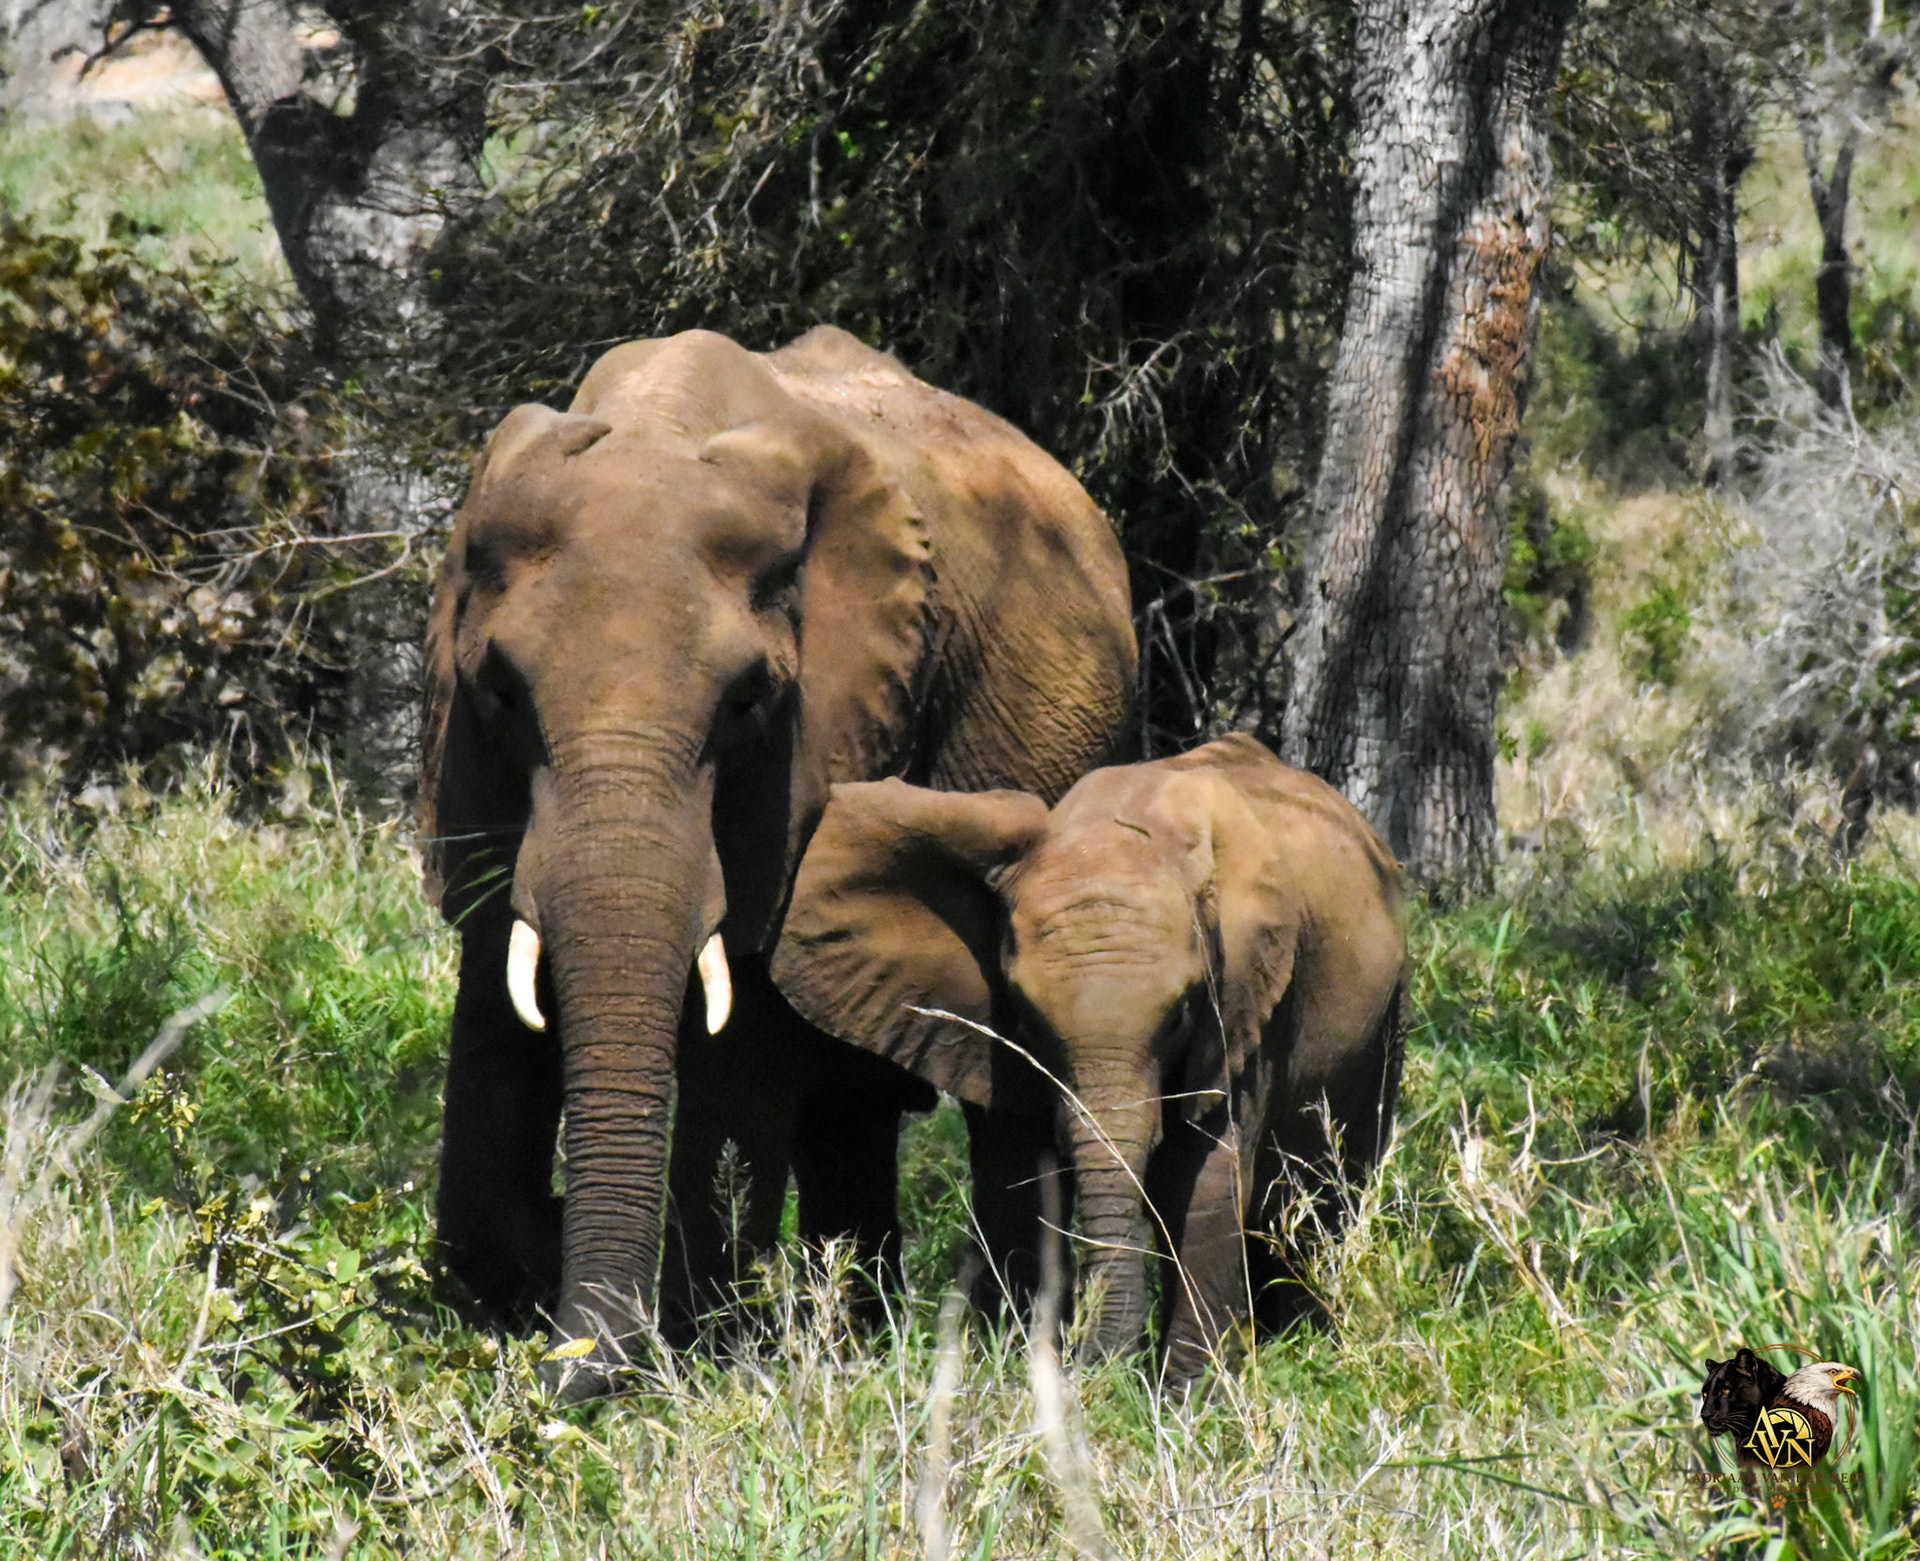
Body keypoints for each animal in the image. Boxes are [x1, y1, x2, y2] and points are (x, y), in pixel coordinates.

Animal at [418, 326, 1136, 1384]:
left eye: (748, 700)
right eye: (504, 691)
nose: (581, 1374)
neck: (660, 423)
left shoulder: (820, 737)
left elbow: (745, 1035)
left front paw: (689, 1351)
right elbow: (492, 993)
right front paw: (524, 1287)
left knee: (1000, 1103)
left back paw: (1000, 1338)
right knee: (852, 1108)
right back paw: (862, 1331)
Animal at [771, 733, 1407, 1385]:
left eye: (1180, 1016)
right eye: (1028, 1020)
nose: (1099, 1368)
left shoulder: (1247, 1000)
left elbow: (1202, 1176)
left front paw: (1186, 1396)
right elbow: (1021, 1178)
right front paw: (1019, 1373)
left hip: (1388, 1012)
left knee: (1328, 1189)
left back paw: (1312, 1337)